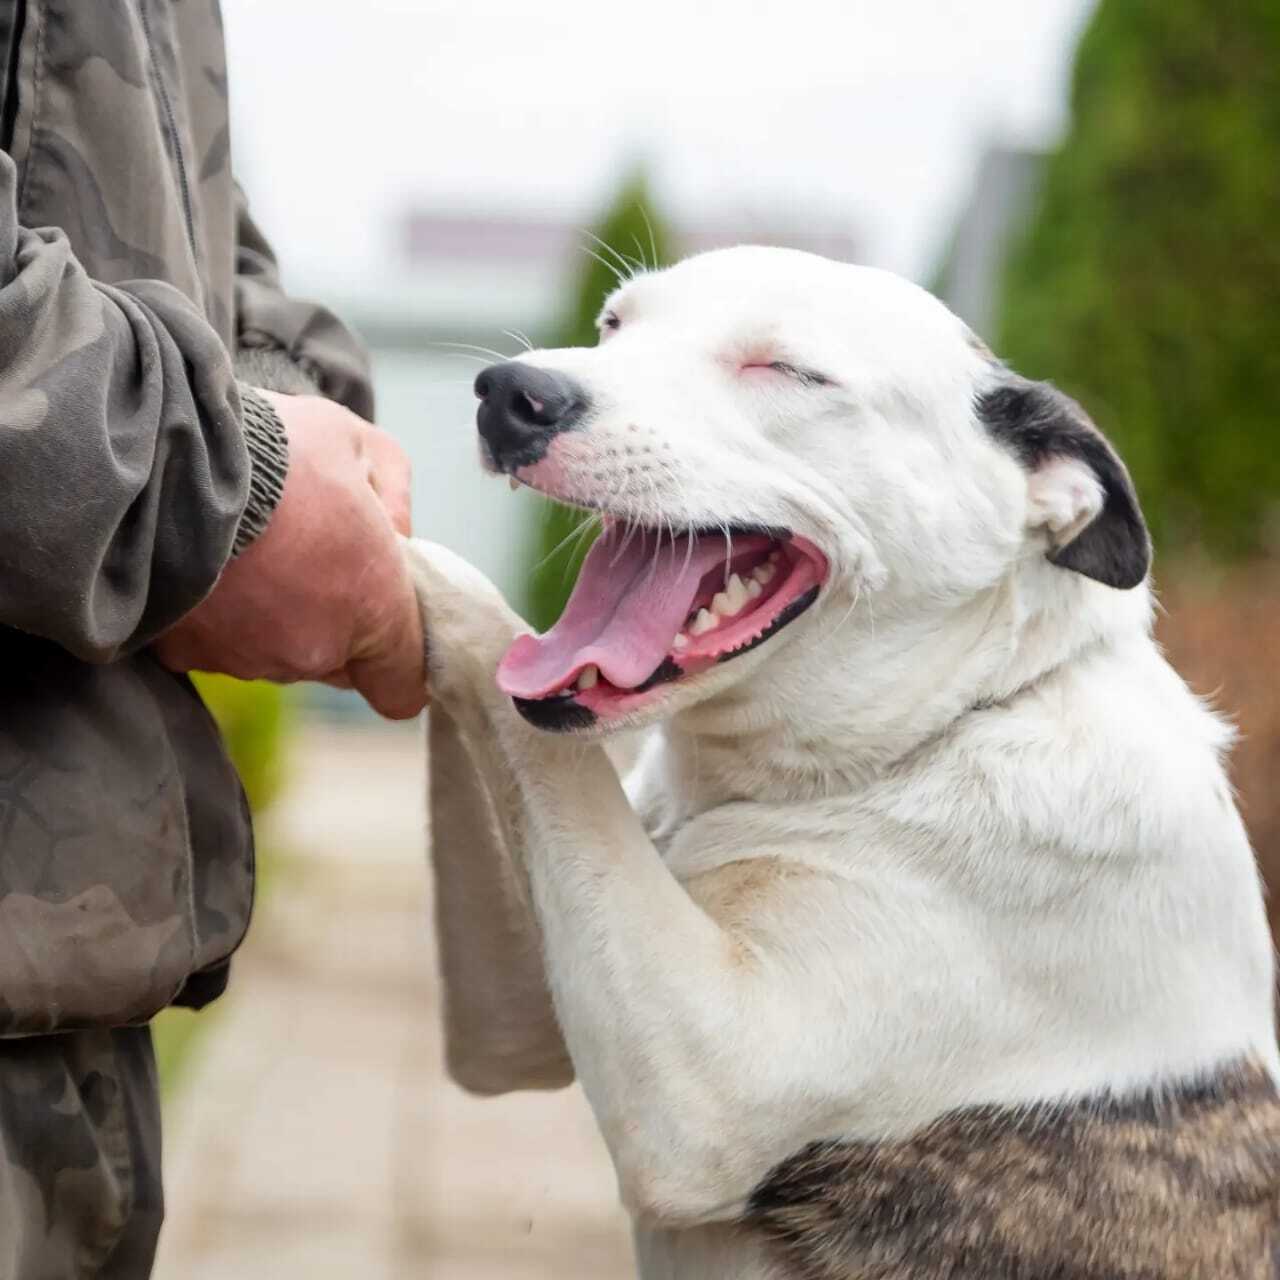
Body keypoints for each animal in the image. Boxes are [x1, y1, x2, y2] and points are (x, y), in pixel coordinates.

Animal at [407, 244, 1280, 1274]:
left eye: (785, 371)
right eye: (614, 324)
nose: (513, 394)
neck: (942, 727)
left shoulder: (704, 1083)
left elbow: (513, 678)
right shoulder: (514, 1016)